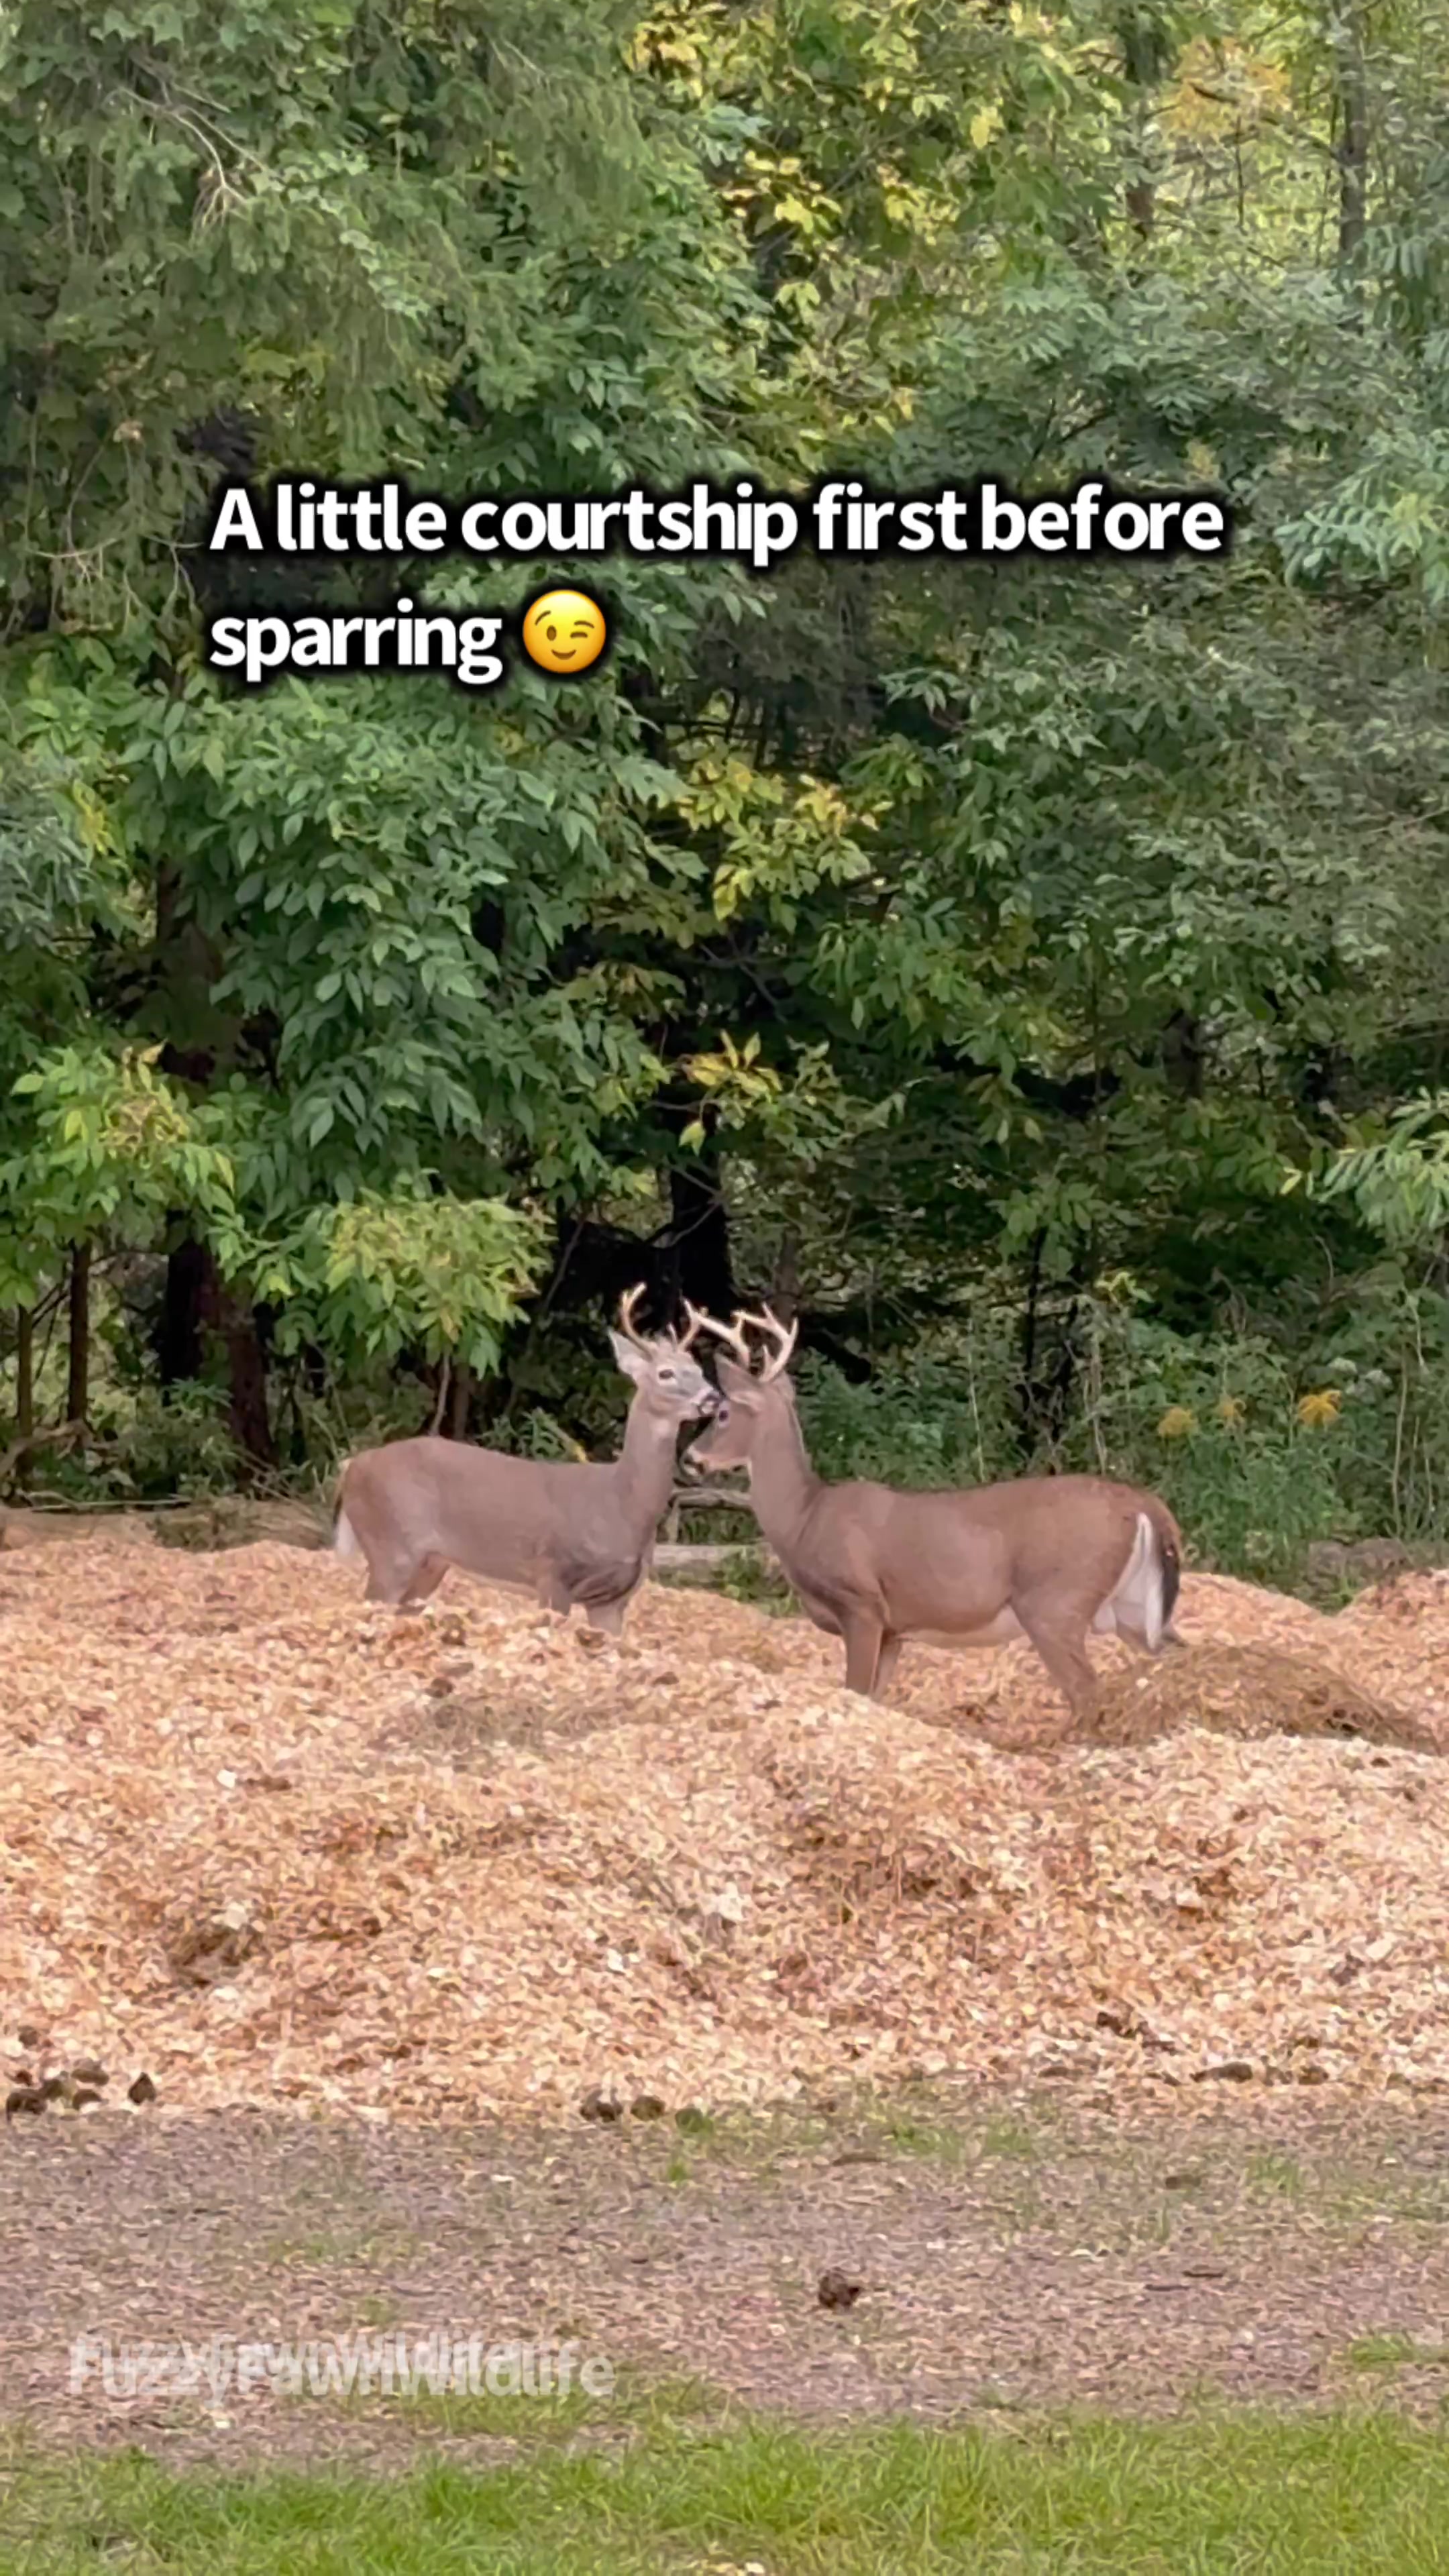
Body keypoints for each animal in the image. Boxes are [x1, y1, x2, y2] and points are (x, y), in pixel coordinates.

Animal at [331, 1288, 719, 1633]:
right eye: (665, 1373)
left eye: (699, 1369)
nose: (712, 1397)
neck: (621, 1504)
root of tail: (352, 1465)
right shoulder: (552, 1571)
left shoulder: (615, 1599)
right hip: (392, 1545)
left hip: (430, 1563)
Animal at [681, 1303, 1185, 1733]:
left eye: (722, 1413)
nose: (690, 1459)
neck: (804, 1519)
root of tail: (1144, 1504)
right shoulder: (895, 1630)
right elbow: (875, 1698)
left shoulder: (861, 1605)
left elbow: (855, 1690)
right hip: (1131, 1607)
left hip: (1055, 1600)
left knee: (1087, 1691)